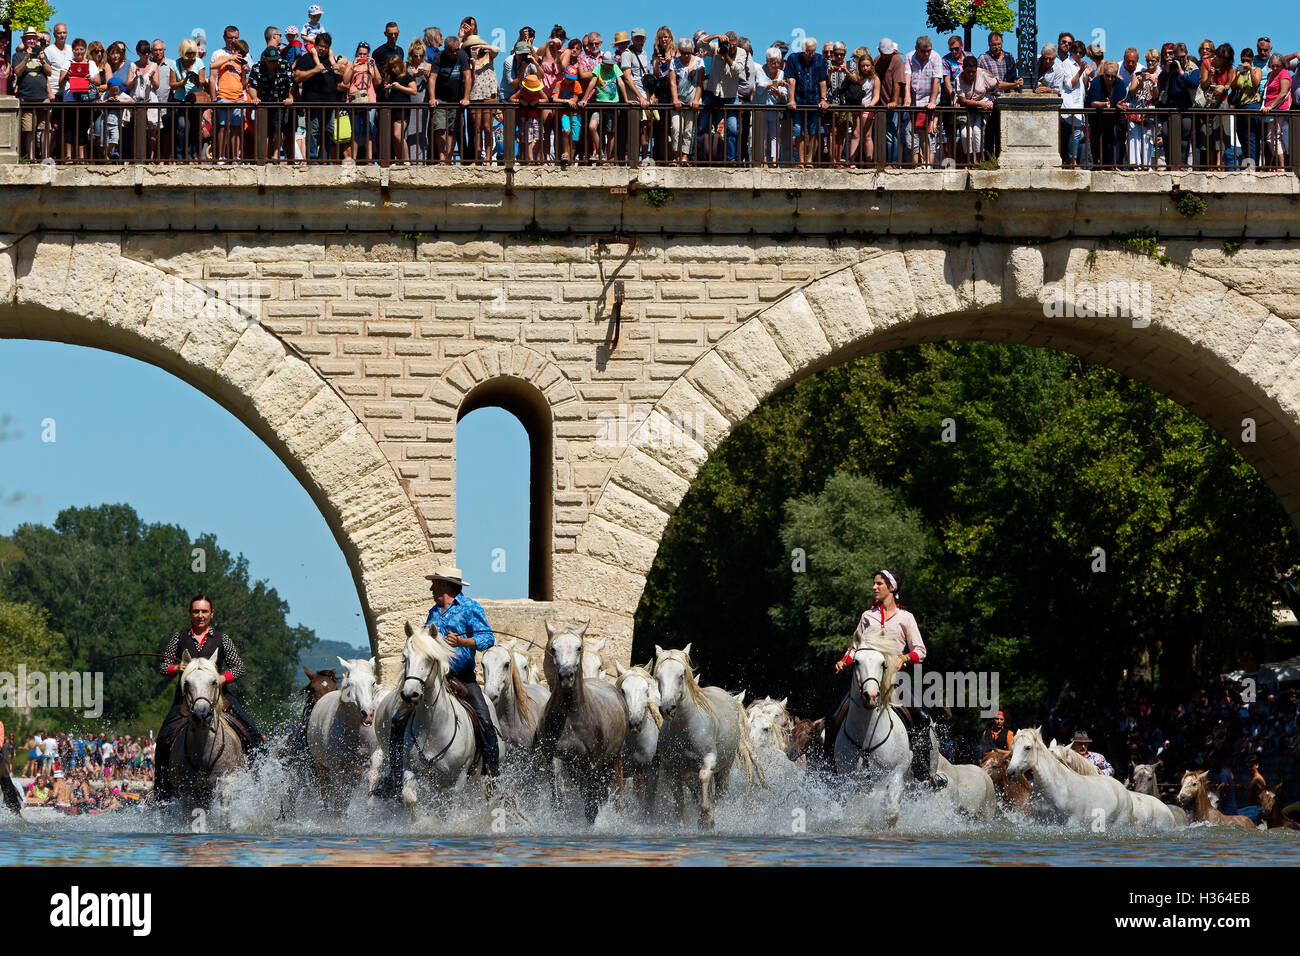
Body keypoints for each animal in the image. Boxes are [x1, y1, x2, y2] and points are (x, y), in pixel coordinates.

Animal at [650, 647, 759, 827]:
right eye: (658, 676)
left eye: (681, 674)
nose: (667, 708)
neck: (685, 729)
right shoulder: (672, 770)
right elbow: (680, 801)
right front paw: (682, 821)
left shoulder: (709, 759)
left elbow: (705, 777)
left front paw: (706, 819)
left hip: (725, 767)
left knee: (720, 789)